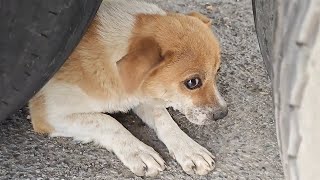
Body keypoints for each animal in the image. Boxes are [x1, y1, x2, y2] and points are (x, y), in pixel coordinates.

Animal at [28, 0, 228, 177]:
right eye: (192, 82)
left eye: (217, 71)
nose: (223, 114)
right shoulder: (48, 114)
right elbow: (107, 121)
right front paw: (139, 151)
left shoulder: (141, 94)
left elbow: (163, 117)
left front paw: (189, 149)